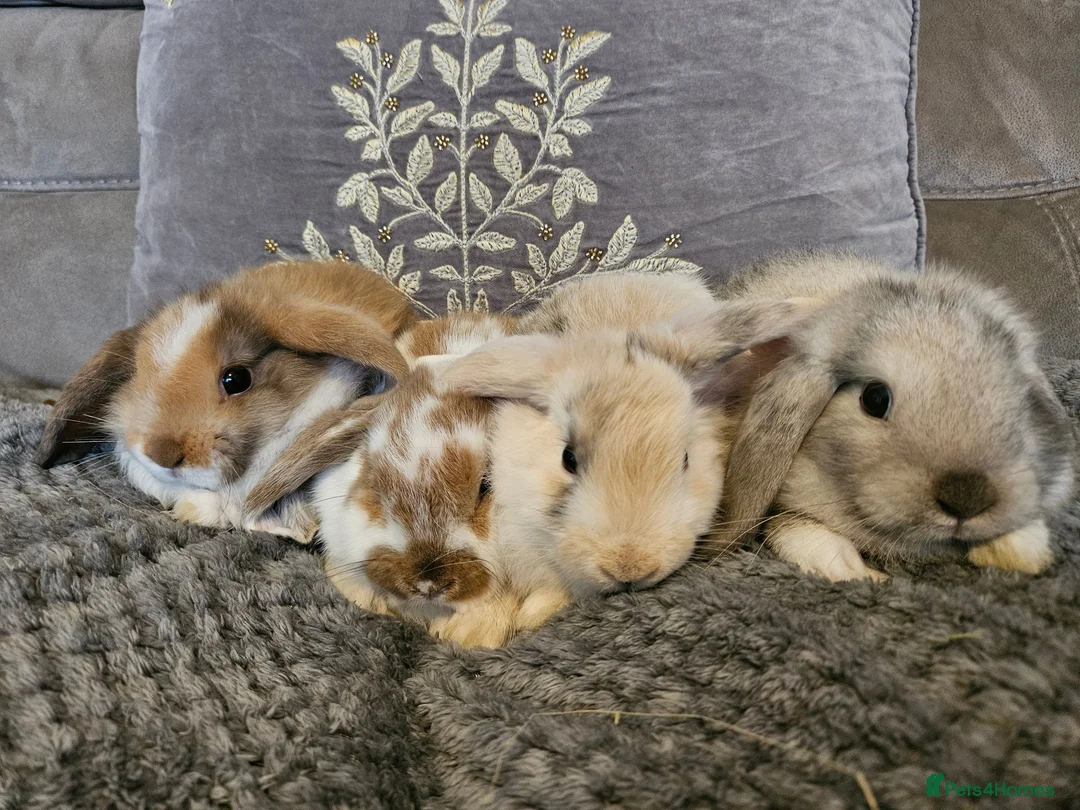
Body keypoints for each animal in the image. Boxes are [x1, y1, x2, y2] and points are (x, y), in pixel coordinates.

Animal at [707, 251, 1076, 582]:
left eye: (1022, 399)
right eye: (874, 398)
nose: (968, 498)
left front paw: (1026, 550)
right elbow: (794, 528)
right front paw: (854, 572)